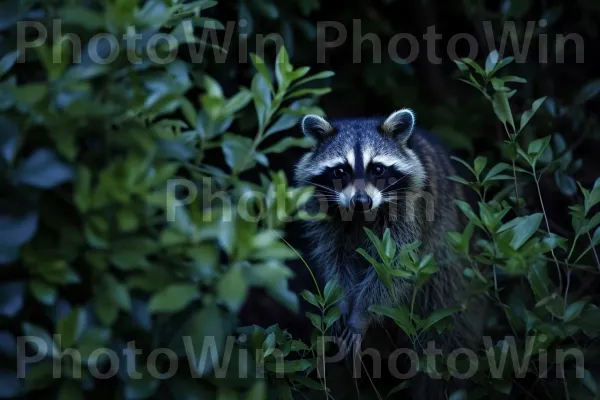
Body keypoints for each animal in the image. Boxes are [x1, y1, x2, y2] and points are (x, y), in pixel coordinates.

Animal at [292, 110, 486, 400]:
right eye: (340, 170)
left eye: (377, 169)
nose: (361, 201)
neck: (361, 215)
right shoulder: (326, 214)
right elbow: (335, 260)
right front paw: (344, 302)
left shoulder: (415, 209)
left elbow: (395, 269)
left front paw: (360, 316)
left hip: (450, 264)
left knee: (446, 332)